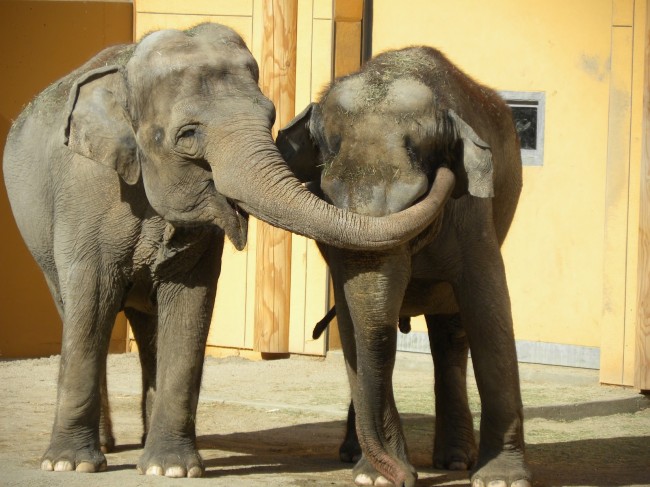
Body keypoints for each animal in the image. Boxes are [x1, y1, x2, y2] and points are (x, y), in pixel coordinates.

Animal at [2, 25, 455, 478]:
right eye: (188, 135)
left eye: (270, 118)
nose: (446, 166)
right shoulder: (85, 193)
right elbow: (92, 296)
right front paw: (67, 465)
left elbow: (189, 303)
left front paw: (171, 469)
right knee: (75, 311)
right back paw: (101, 449)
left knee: (147, 326)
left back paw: (142, 447)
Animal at [277, 46, 530, 487]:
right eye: (327, 197)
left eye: (416, 200)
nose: (405, 479)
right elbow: (357, 327)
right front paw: (374, 478)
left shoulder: (473, 219)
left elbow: (489, 310)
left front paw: (502, 479)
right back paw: (356, 453)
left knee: (451, 335)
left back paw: (455, 461)